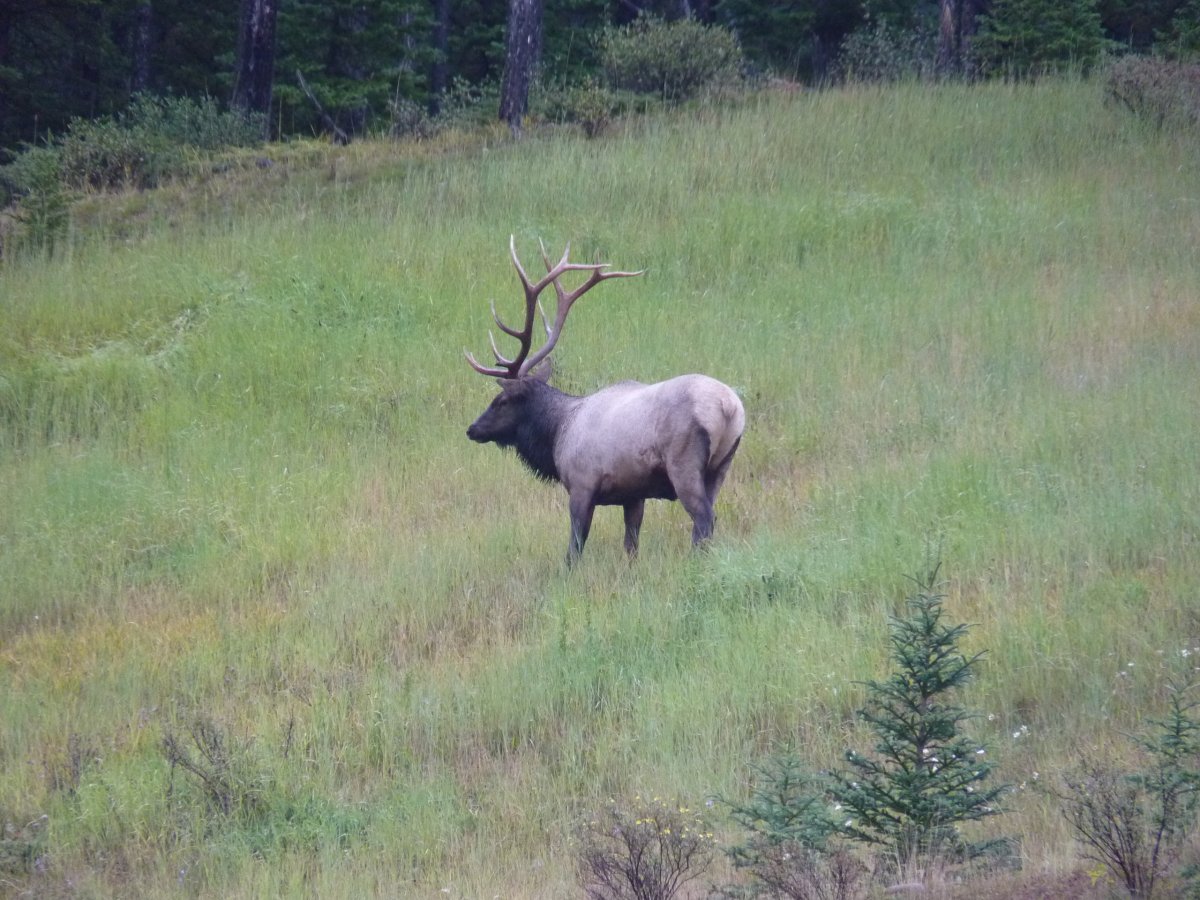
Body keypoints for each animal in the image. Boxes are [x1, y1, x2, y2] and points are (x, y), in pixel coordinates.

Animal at [465, 236, 745, 564]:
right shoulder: (634, 495)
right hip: (722, 465)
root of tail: (729, 407)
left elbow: (574, 549)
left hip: (684, 463)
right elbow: (631, 545)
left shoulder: (582, 485)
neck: (557, 432)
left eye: (501, 400)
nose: (472, 429)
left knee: (704, 519)